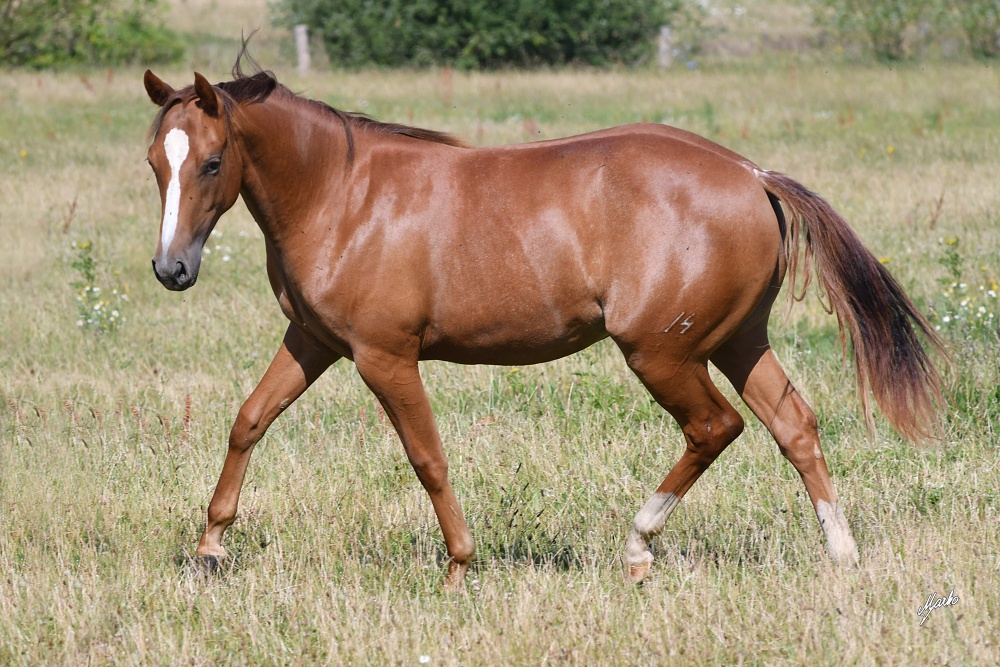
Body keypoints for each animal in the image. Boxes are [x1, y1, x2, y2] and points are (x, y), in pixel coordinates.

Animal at [145, 60, 940, 588]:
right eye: (156, 161)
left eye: (212, 162)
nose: (171, 269)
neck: (342, 197)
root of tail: (752, 175)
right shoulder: (312, 341)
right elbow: (249, 419)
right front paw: (210, 548)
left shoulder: (384, 356)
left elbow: (427, 457)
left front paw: (460, 565)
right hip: (740, 340)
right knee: (794, 425)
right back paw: (841, 555)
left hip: (661, 353)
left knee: (715, 428)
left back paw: (638, 546)